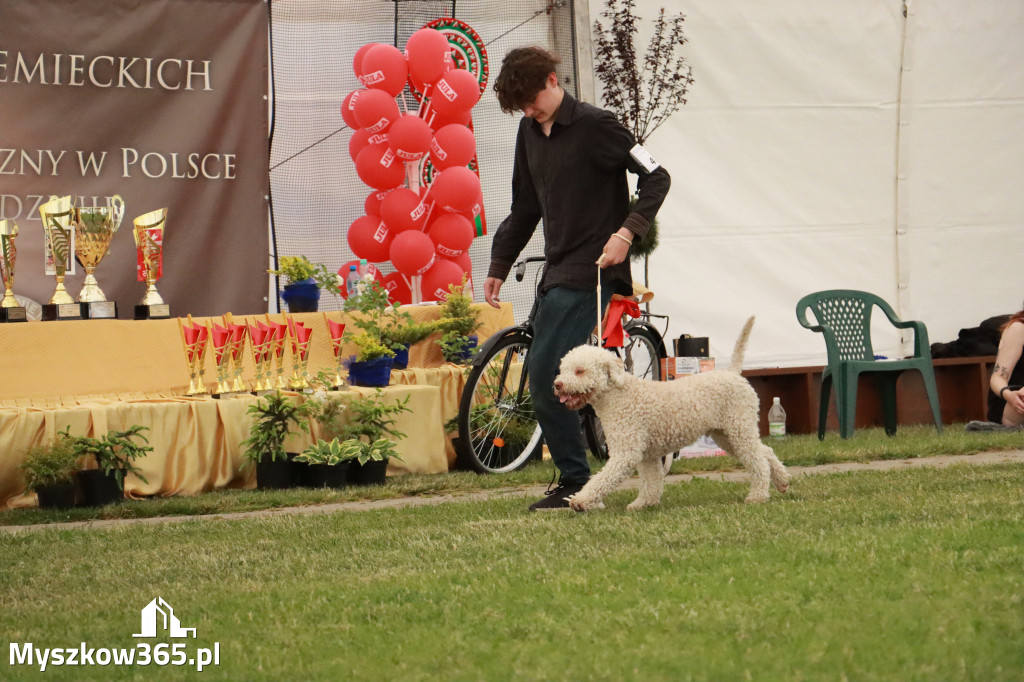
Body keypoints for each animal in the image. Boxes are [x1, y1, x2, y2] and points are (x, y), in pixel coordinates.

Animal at [557, 315, 786, 507]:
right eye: (563, 369)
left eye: (580, 370)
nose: (557, 384)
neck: (620, 395)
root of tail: (733, 373)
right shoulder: (647, 455)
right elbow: (650, 481)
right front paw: (643, 503)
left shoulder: (626, 452)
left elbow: (603, 478)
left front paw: (581, 500)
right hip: (727, 435)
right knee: (766, 451)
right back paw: (782, 481)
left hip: (739, 429)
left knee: (759, 462)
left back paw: (758, 496)